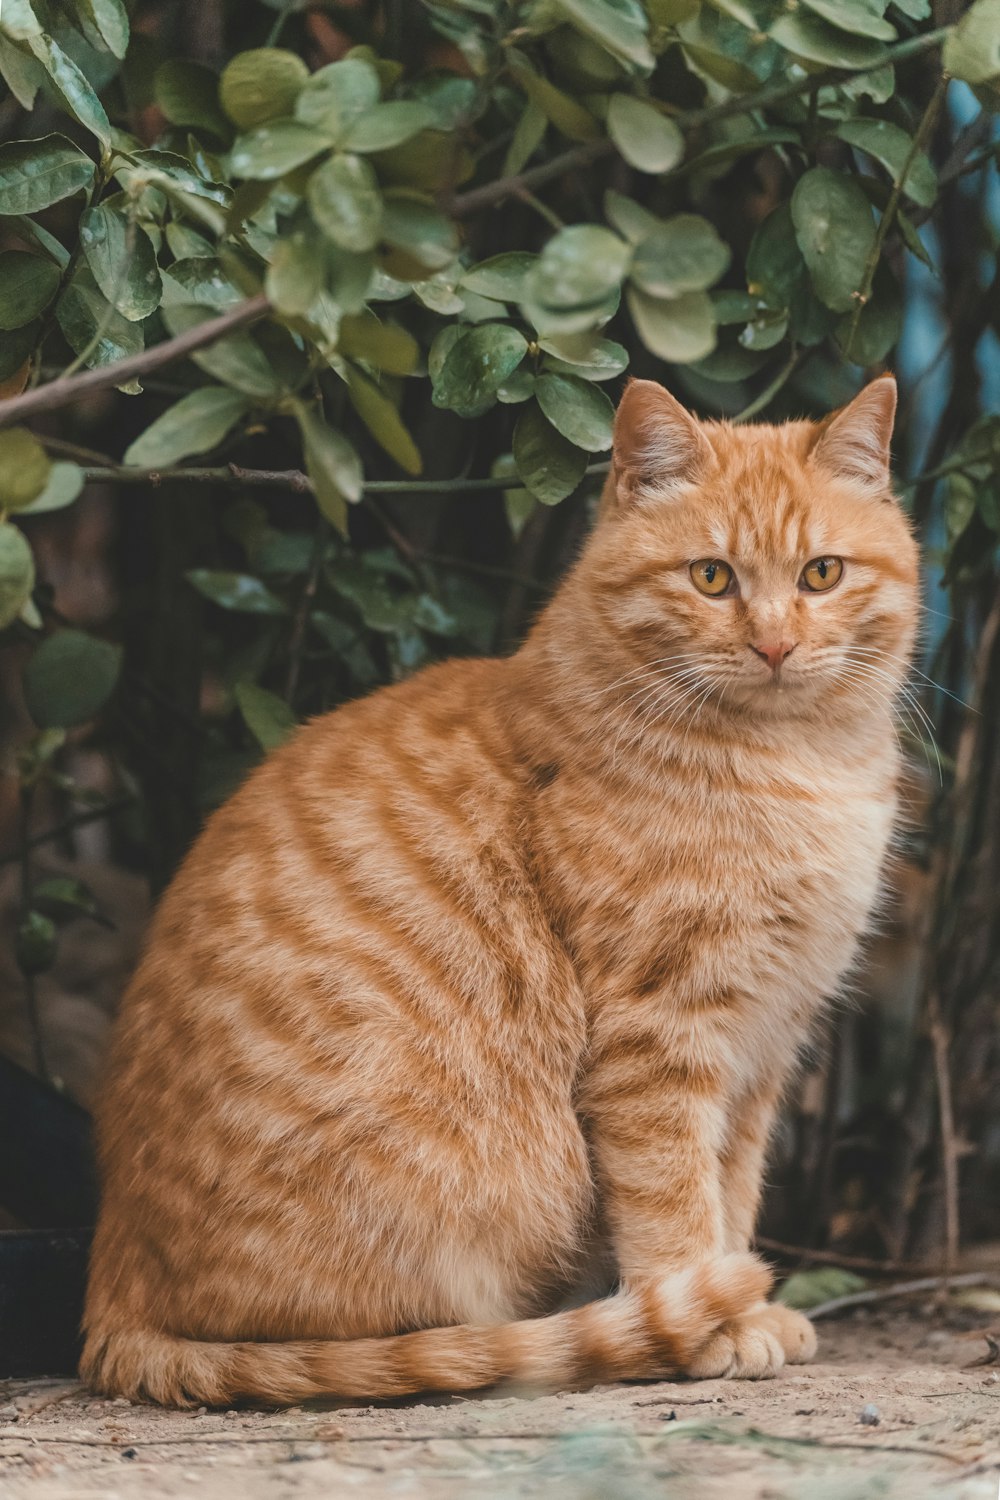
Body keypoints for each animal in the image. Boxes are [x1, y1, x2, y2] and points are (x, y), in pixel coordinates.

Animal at [82, 375, 917, 1404]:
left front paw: (748, 1308)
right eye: (712, 578)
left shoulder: (765, 1048)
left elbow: (734, 1189)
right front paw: (713, 1322)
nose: (773, 645)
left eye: (822, 575)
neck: (798, 767)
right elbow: (677, 1204)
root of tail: (112, 1286)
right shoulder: (660, 1039)